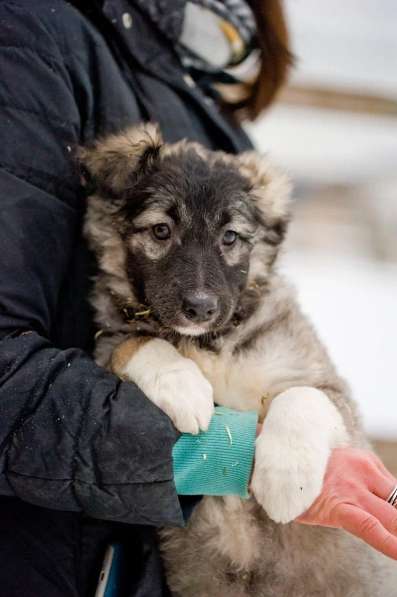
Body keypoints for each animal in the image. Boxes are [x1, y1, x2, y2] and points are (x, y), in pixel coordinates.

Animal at [81, 123, 396, 592]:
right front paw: (184, 387)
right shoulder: (109, 338)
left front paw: (286, 479)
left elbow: (303, 396)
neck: (210, 342)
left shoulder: (326, 386)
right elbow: (136, 343)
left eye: (229, 237)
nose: (200, 308)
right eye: (161, 231)